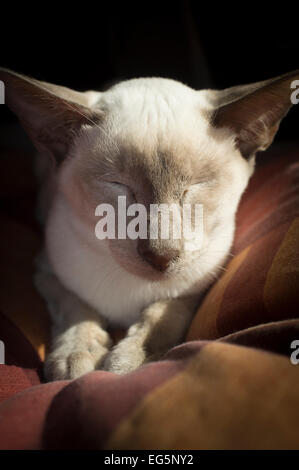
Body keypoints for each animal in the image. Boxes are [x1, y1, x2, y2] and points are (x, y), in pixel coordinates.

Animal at [0, 68, 298, 380]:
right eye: (119, 185)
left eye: (193, 187)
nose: (160, 256)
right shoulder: (47, 271)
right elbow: (77, 308)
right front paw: (76, 357)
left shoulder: (201, 280)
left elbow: (163, 311)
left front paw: (133, 360)